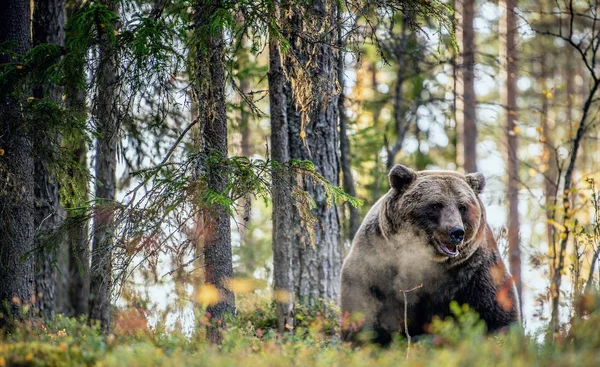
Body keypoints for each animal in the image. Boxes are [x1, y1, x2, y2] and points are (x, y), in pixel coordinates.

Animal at [342, 165, 520, 346]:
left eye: (462, 206)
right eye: (436, 205)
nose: (456, 232)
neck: (429, 262)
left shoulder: (473, 271)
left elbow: (494, 313)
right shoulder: (376, 263)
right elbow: (364, 309)